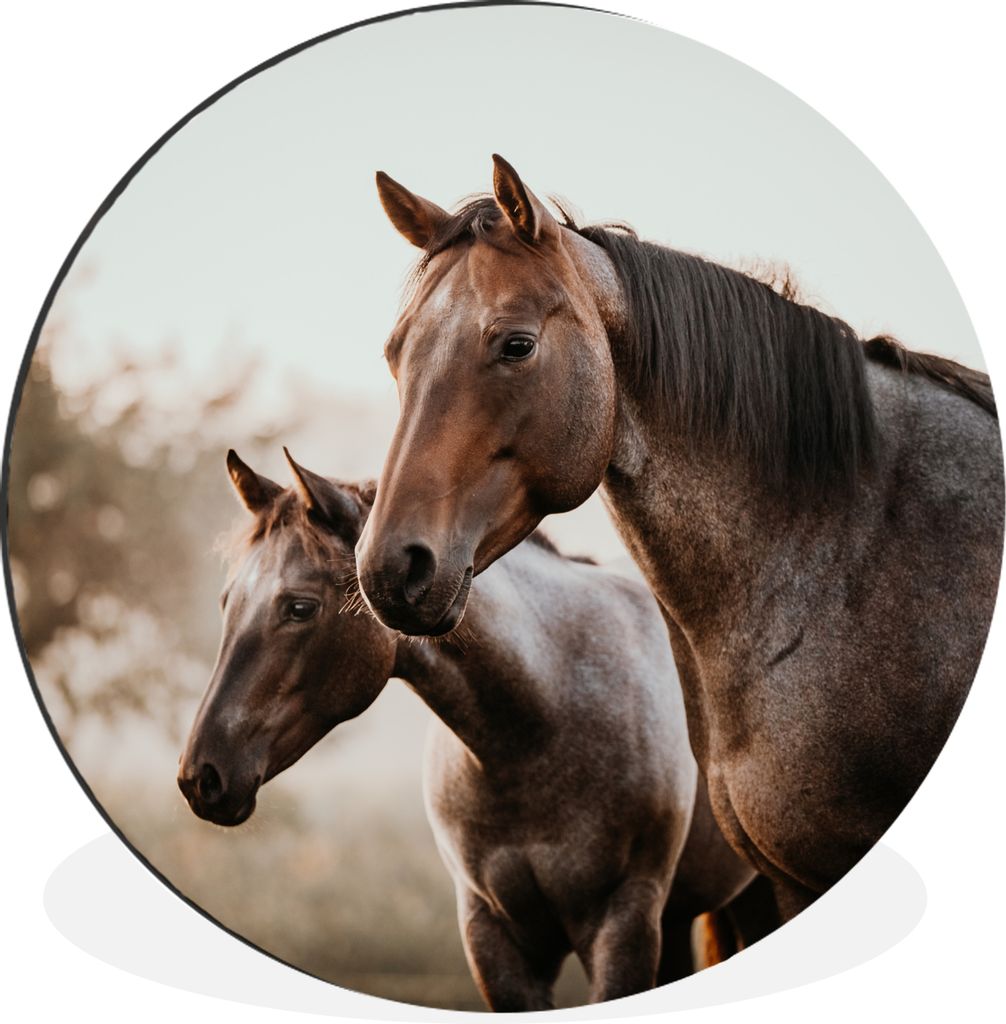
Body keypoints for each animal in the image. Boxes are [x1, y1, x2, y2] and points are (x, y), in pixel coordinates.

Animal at [177, 450, 777, 1010]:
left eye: (300, 607)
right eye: (227, 601)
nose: (200, 776)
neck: (541, 728)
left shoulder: (622, 922)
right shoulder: (492, 935)